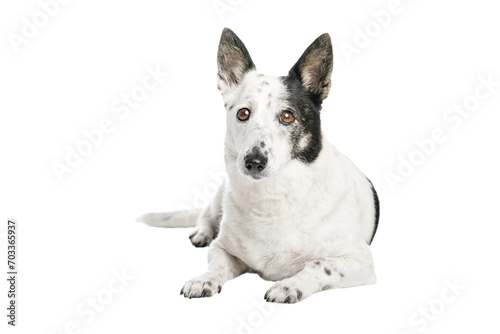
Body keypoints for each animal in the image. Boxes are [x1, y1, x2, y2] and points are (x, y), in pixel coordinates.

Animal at [137, 28, 378, 302]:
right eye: (243, 113)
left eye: (287, 116)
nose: (253, 162)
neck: (272, 197)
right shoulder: (222, 249)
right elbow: (217, 263)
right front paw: (204, 279)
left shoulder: (360, 260)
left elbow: (318, 264)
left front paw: (289, 285)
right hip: (220, 193)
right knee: (205, 214)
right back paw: (202, 232)